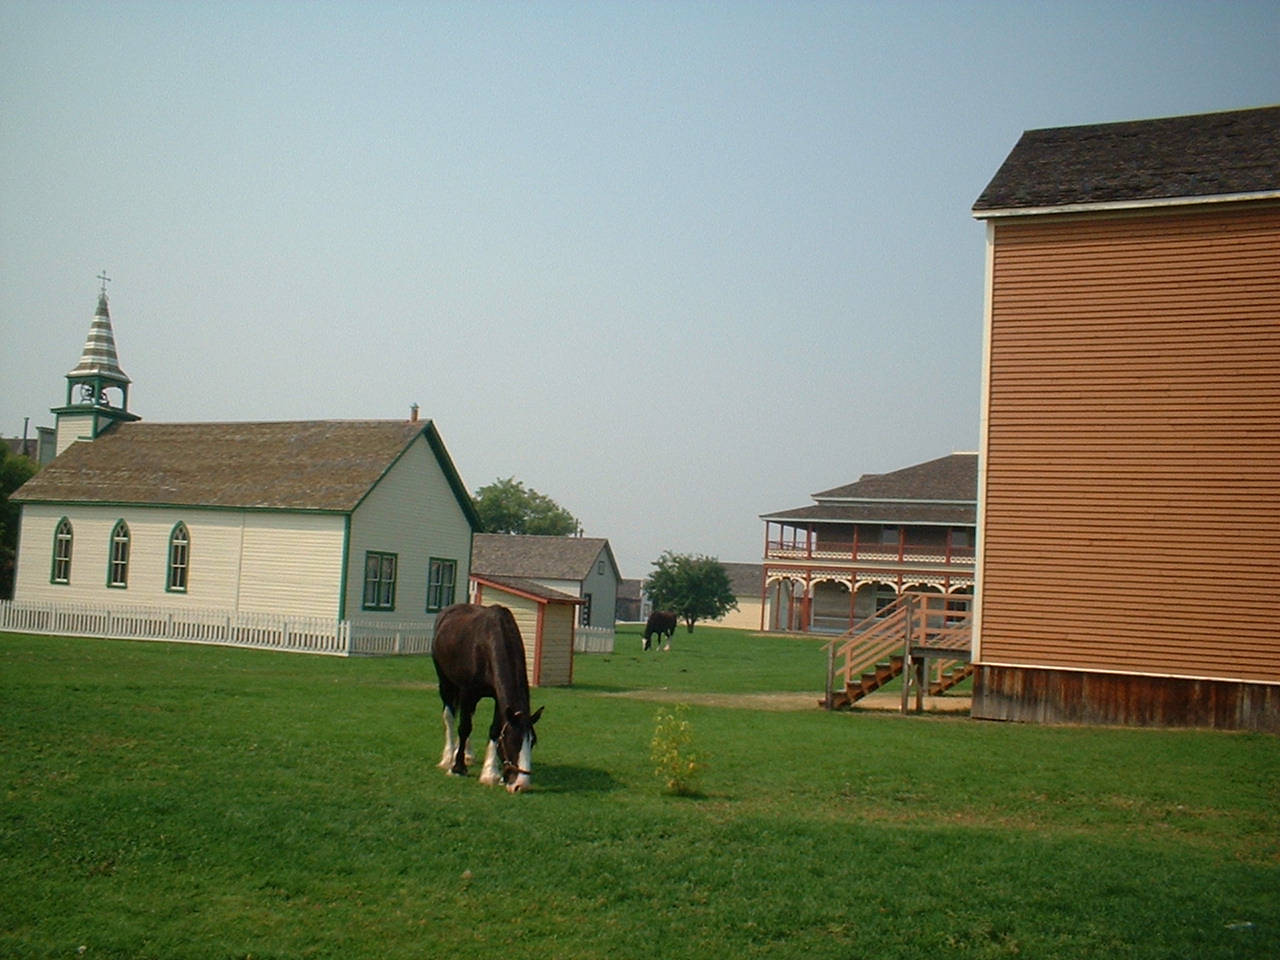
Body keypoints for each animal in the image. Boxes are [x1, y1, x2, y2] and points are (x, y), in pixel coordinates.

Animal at [432, 603, 543, 793]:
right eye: (513, 741)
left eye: (533, 742)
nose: (521, 785)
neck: (486, 643)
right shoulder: (467, 691)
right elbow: (464, 727)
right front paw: (458, 768)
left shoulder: (499, 700)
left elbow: (494, 730)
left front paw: (490, 773)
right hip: (446, 683)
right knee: (450, 717)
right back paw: (448, 757)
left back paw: (467, 754)